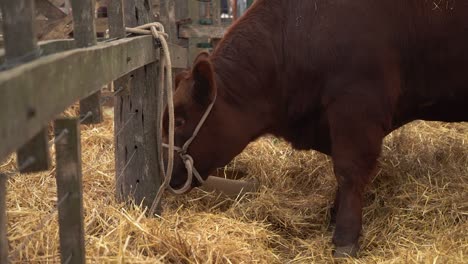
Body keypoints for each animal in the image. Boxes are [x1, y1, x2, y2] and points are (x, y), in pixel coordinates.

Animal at [162, 0, 468, 256]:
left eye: (181, 120)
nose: (164, 170)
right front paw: (334, 216)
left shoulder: (356, 107)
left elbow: (349, 171)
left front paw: (345, 238)